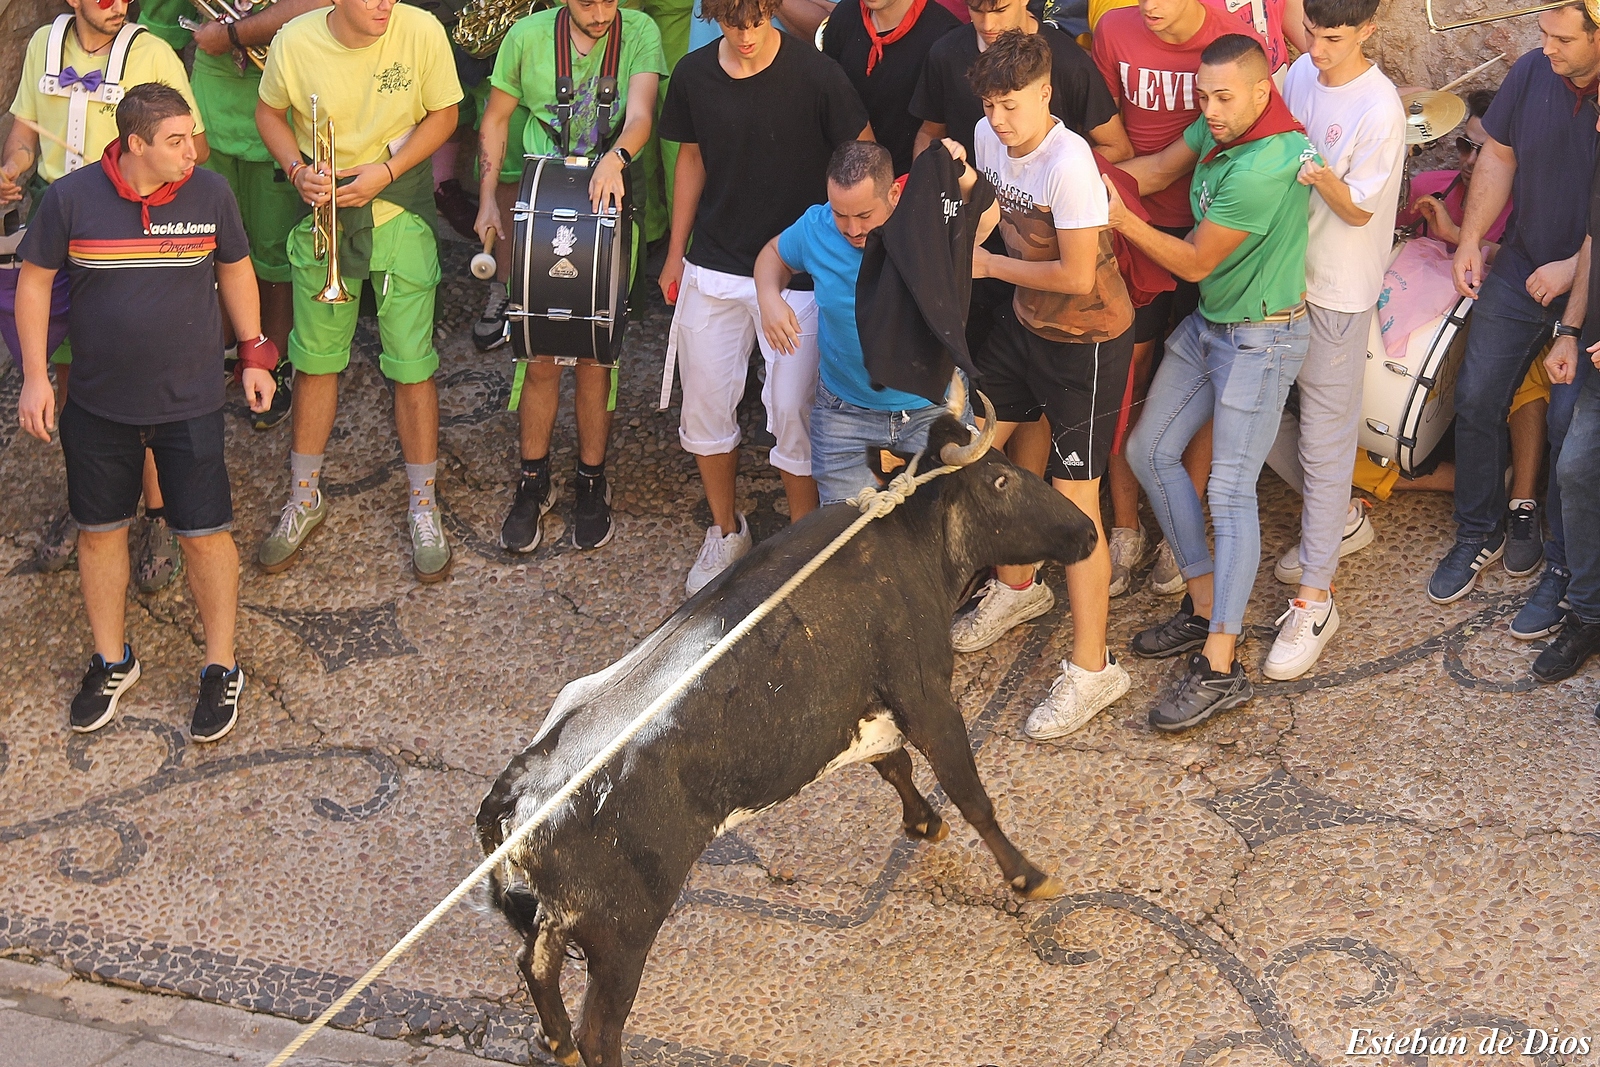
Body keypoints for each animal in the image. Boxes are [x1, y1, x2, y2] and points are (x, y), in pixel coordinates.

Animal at [473, 415, 1100, 1067]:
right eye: (1001, 479)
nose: (1088, 531)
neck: (904, 539)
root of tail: (523, 778)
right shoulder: (926, 694)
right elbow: (969, 791)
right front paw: (1028, 875)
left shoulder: (862, 712)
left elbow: (893, 764)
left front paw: (923, 822)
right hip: (623, 929)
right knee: (598, 1027)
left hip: (570, 917)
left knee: (535, 962)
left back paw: (555, 1040)